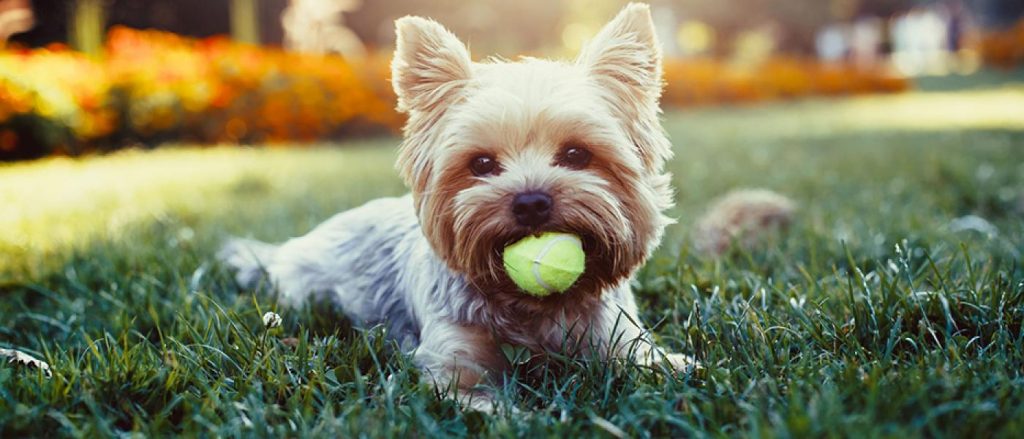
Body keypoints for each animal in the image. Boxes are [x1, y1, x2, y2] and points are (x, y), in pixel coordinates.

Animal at [221, 2, 700, 411]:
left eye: (577, 155)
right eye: (482, 164)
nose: (530, 201)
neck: (532, 307)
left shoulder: (616, 334)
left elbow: (650, 360)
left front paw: (678, 367)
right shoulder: (454, 362)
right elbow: (479, 398)